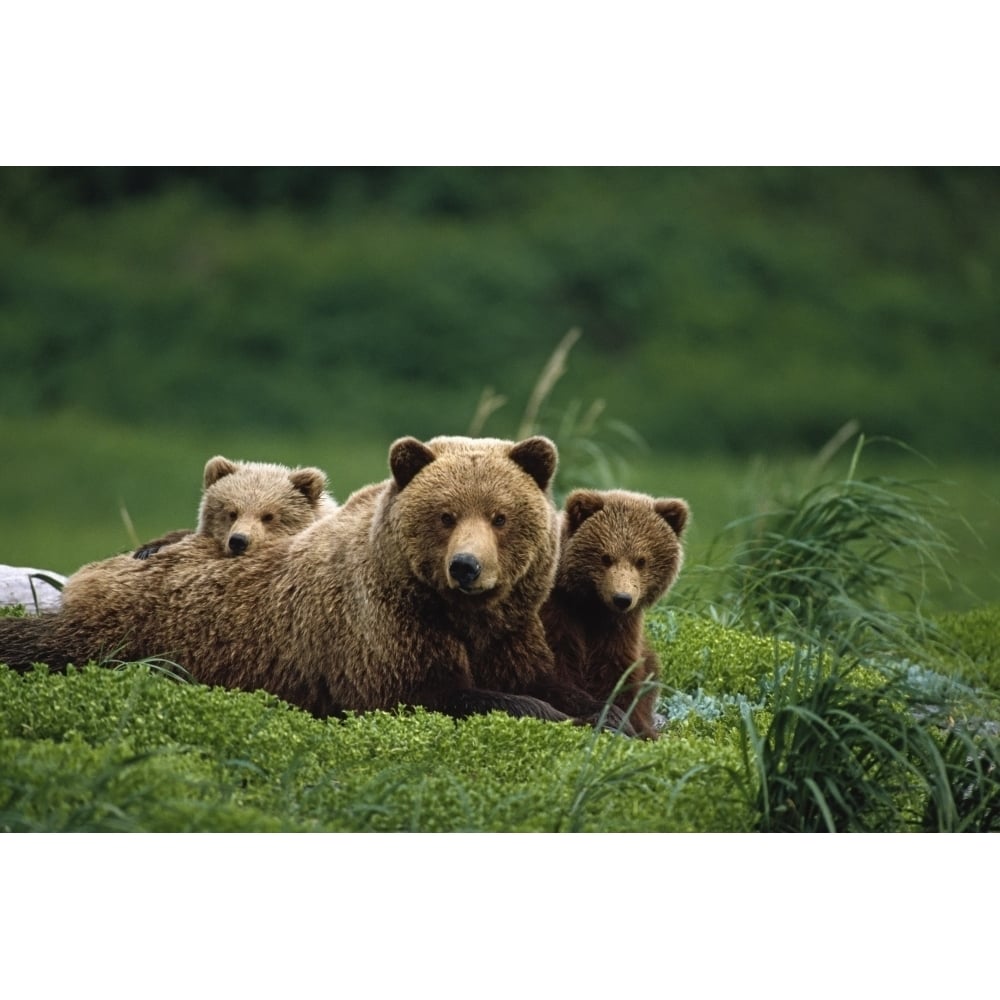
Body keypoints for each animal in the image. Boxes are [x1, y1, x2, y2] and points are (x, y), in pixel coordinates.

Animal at [540, 488, 688, 740]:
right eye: (605, 557)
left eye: (641, 560)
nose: (622, 598)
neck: (592, 607)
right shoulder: (559, 615)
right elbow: (560, 666)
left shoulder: (620, 629)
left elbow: (616, 673)